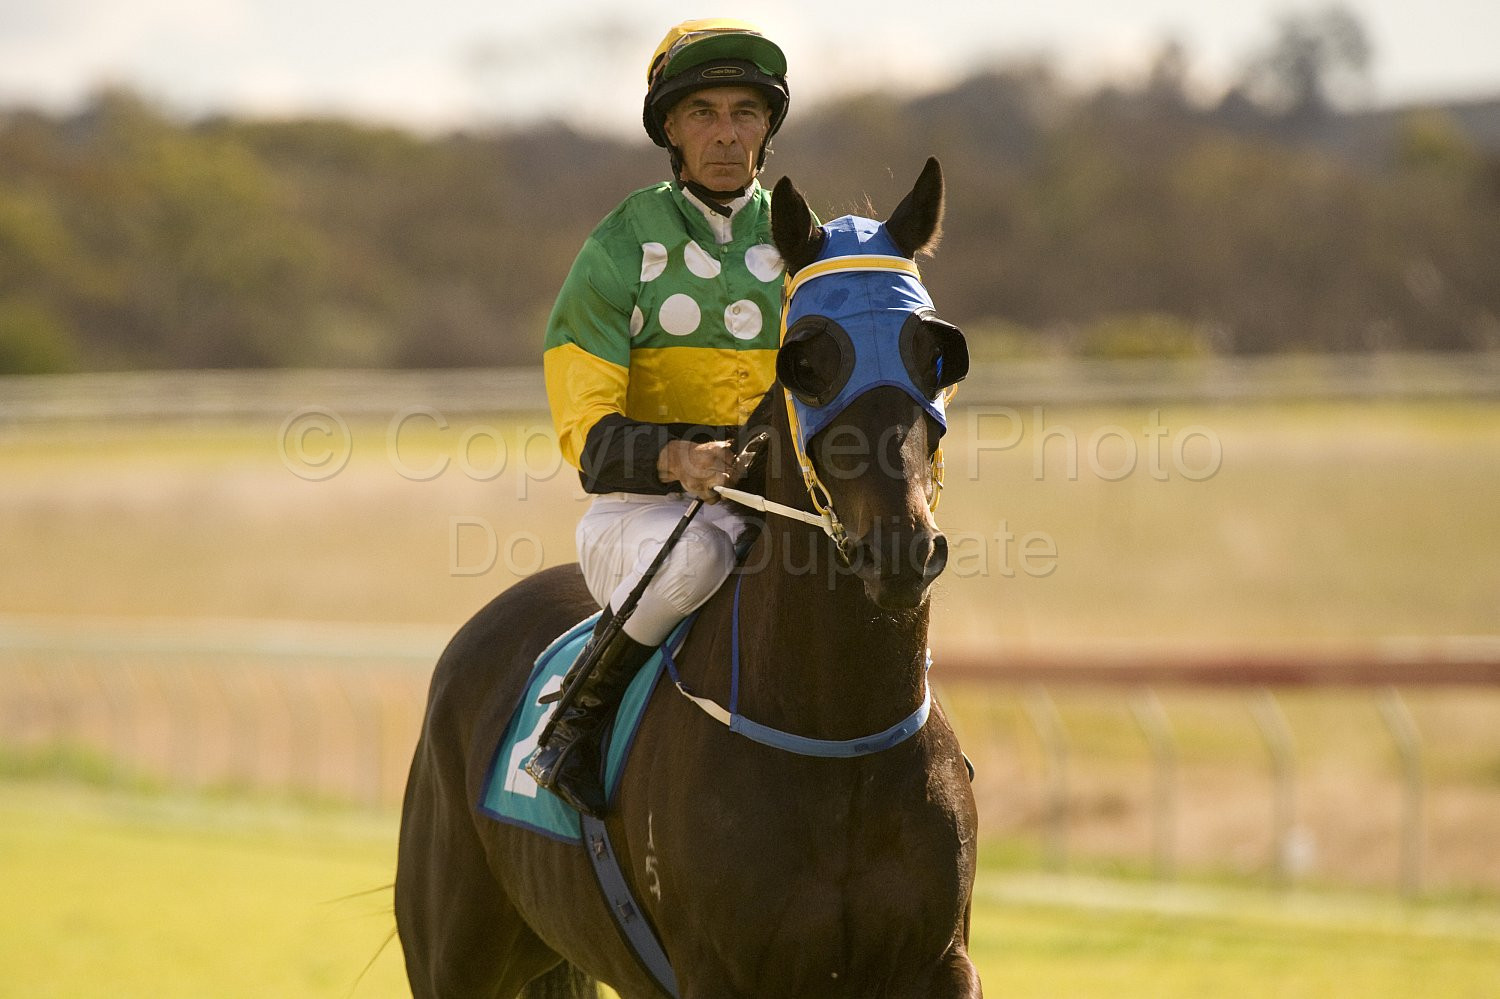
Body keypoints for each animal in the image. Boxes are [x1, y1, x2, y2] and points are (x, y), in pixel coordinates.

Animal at [395, 157, 981, 999]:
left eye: (934, 352)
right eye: (806, 359)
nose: (901, 549)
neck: (838, 744)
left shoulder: (940, 961)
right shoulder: (716, 968)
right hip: (454, 952)